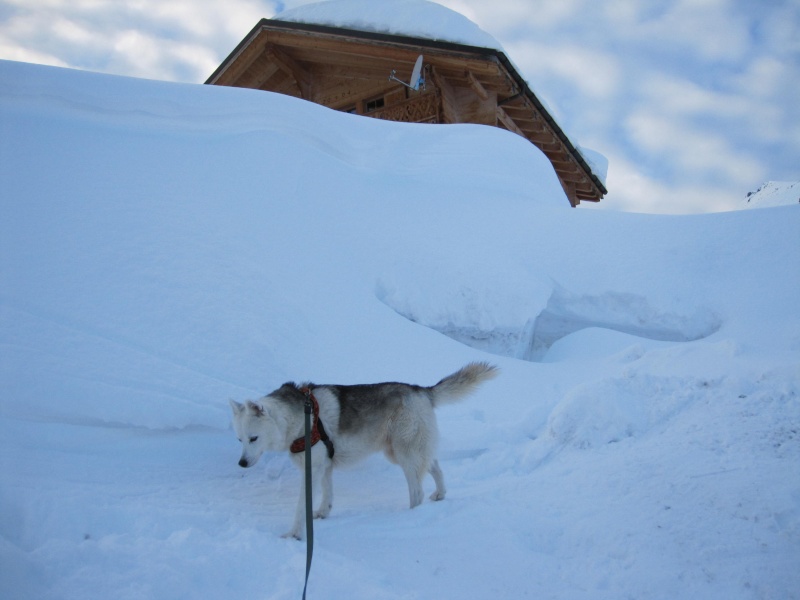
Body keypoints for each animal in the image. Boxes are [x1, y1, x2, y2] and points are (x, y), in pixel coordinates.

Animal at [228, 360, 496, 540]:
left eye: (253, 438)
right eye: (239, 439)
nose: (241, 464)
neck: (299, 418)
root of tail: (421, 390)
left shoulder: (311, 470)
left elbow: (300, 509)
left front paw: (294, 535)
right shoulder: (324, 467)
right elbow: (327, 495)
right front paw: (322, 513)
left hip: (405, 455)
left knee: (417, 492)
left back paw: (408, 518)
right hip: (404, 451)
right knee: (436, 467)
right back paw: (440, 494)